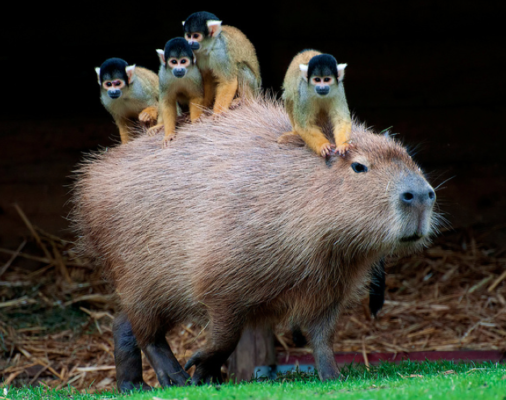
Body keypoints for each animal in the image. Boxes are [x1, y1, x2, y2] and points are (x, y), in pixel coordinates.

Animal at [71, 95, 438, 390]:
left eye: (407, 155)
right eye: (359, 166)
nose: (421, 195)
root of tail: (90, 181)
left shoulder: (328, 288)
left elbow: (323, 336)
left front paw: (333, 377)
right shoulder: (220, 280)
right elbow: (225, 334)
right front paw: (201, 369)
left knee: (123, 323)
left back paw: (135, 385)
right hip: (138, 276)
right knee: (145, 331)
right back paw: (174, 378)